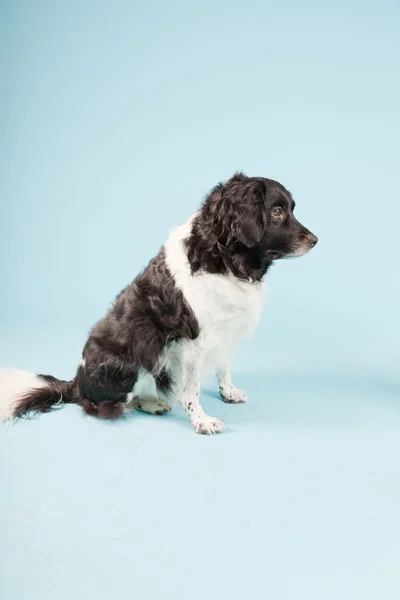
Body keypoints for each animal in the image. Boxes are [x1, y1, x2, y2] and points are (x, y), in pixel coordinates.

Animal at [0, 171, 318, 434]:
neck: (223, 258)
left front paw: (228, 392)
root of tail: (76, 382)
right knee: (97, 406)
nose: (315, 240)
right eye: (276, 211)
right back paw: (148, 404)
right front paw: (201, 421)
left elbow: (224, 366)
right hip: (124, 364)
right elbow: (191, 390)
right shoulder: (192, 340)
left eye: (291, 208)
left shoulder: (223, 329)